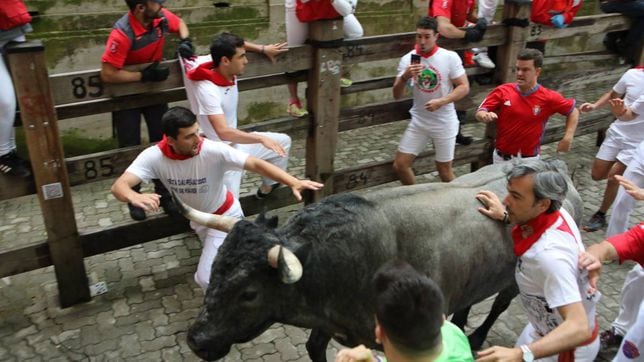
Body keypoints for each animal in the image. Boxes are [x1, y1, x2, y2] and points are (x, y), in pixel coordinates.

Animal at [179, 163, 580, 360]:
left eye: (248, 293)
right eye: (214, 271)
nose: (196, 340)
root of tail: (560, 175)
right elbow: (314, 348)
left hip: (517, 280)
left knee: (499, 303)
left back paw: (477, 335)